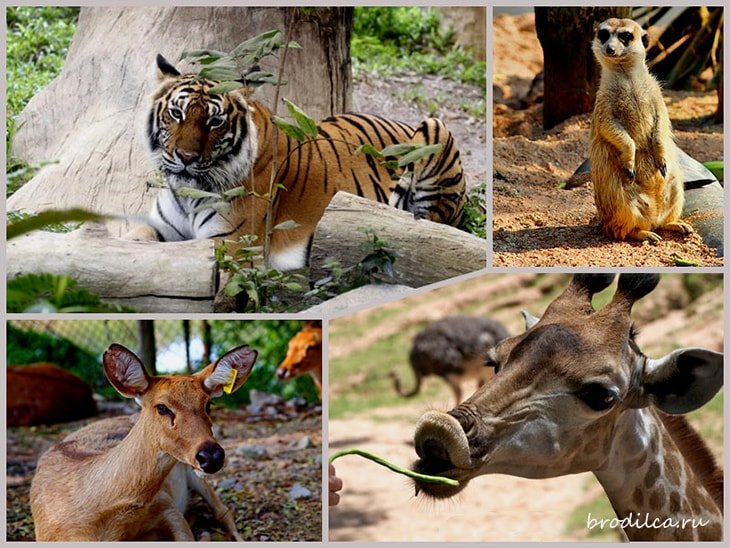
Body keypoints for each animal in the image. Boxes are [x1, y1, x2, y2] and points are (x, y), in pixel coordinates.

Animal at [123, 52, 466, 270]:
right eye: (176, 113)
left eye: (215, 121)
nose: (186, 158)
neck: (187, 194)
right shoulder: (157, 227)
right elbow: (130, 244)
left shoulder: (229, 243)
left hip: (436, 129)